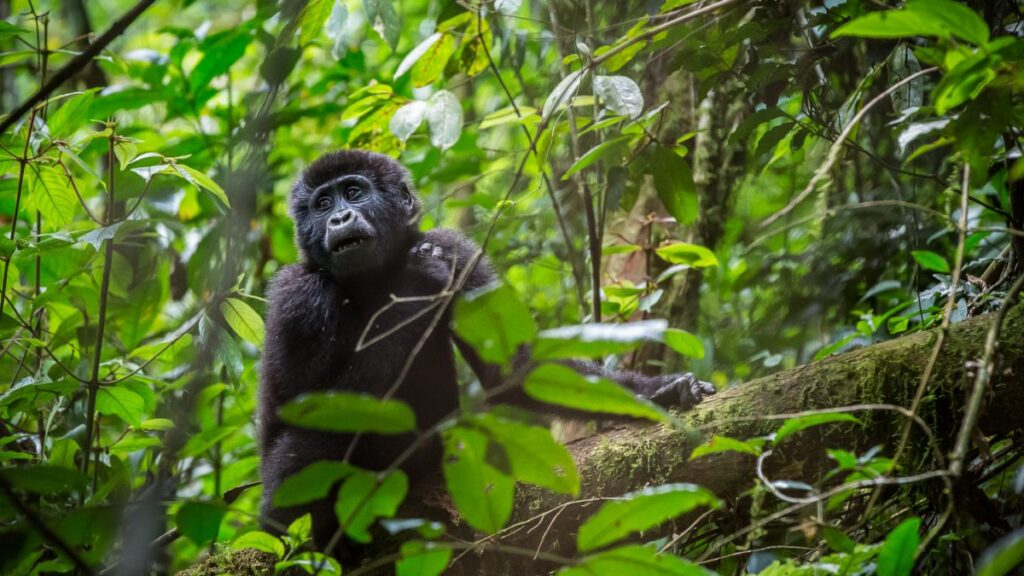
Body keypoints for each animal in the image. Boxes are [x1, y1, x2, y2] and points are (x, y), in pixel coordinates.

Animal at [258, 150, 716, 556]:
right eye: (322, 205)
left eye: (353, 192)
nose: (338, 218)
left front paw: (660, 391)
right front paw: (417, 282)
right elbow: (305, 403)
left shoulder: (458, 251)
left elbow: (513, 370)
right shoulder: (297, 294)